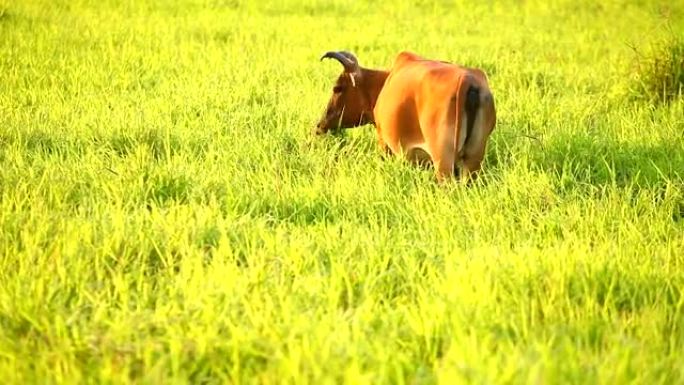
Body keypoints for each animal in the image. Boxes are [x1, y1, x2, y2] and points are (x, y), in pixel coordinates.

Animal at [316, 50, 496, 182]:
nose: (319, 125)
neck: (383, 83)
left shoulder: (384, 142)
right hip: (473, 160)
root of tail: (467, 80)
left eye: (337, 88)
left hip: (443, 160)